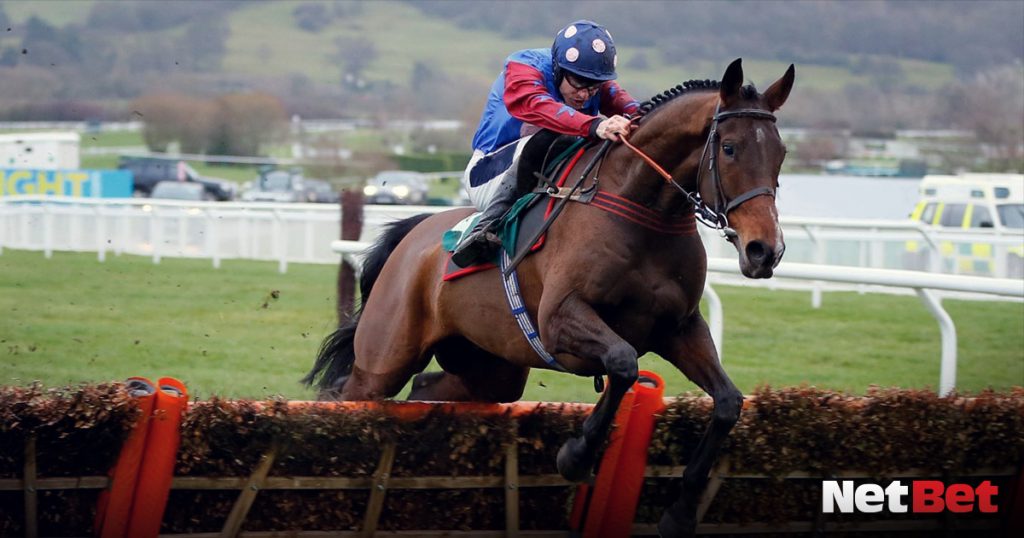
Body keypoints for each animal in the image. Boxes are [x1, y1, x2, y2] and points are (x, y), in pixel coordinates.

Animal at [305, 58, 794, 536]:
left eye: (781, 152)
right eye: (729, 148)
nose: (764, 251)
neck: (642, 210)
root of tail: (414, 233)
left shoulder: (680, 327)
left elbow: (728, 402)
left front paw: (681, 511)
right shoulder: (561, 318)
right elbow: (623, 364)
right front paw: (576, 455)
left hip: (488, 369)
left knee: (427, 389)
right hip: (384, 359)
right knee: (346, 393)